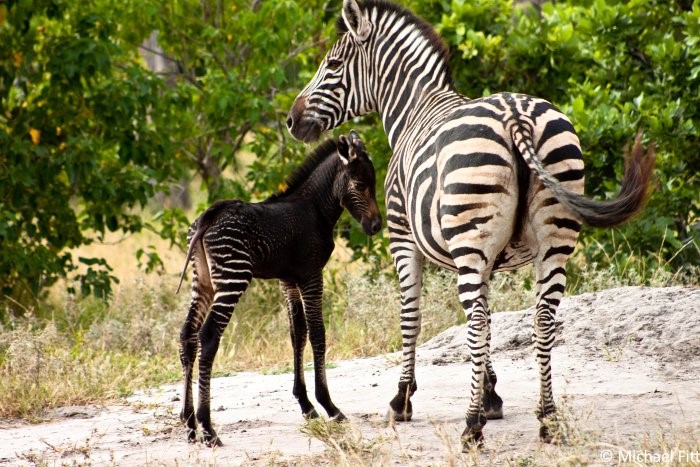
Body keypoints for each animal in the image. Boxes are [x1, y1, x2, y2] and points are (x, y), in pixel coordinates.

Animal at [178, 131, 380, 446]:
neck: (315, 209)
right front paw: (329, 406)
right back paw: (208, 428)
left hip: (204, 282)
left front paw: (306, 405)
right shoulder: (311, 275)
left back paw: (189, 424)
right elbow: (318, 334)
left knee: (188, 335)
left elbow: (297, 334)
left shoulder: (288, 281)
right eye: (360, 185)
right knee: (208, 336)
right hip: (233, 278)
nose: (376, 226)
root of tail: (208, 216)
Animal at [286, 0, 656, 448]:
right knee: (541, 317)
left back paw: (470, 426)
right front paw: (492, 395)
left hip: (469, 236)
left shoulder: (402, 237)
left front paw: (403, 399)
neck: (414, 108)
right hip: (554, 232)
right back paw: (548, 419)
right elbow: (493, 319)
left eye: (334, 64)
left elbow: (413, 315)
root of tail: (516, 115)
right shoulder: (490, 258)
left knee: (476, 320)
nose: (291, 120)